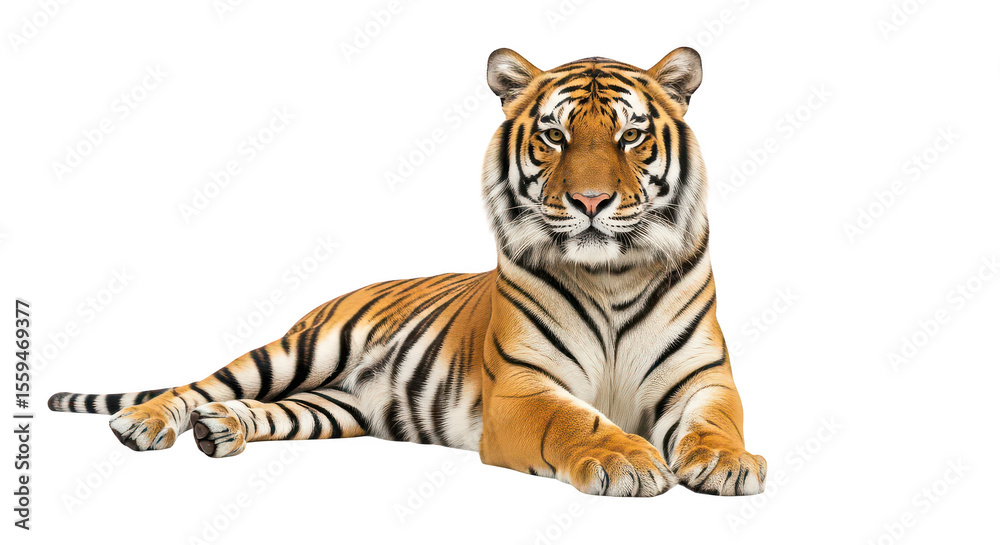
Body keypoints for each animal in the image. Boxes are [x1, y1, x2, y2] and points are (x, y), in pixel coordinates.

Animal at [49, 47, 766, 497]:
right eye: (555, 137)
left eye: (630, 136)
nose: (591, 201)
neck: (611, 275)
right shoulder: (523, 389)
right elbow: (577, 422)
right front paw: (625, 460)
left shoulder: (703, 379)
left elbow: (716, 424)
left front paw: (729, 464)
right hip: (297, 350)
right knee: (200, 383)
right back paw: (144, 422)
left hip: (331, 407)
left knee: (264, 408)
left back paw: (220, 427)